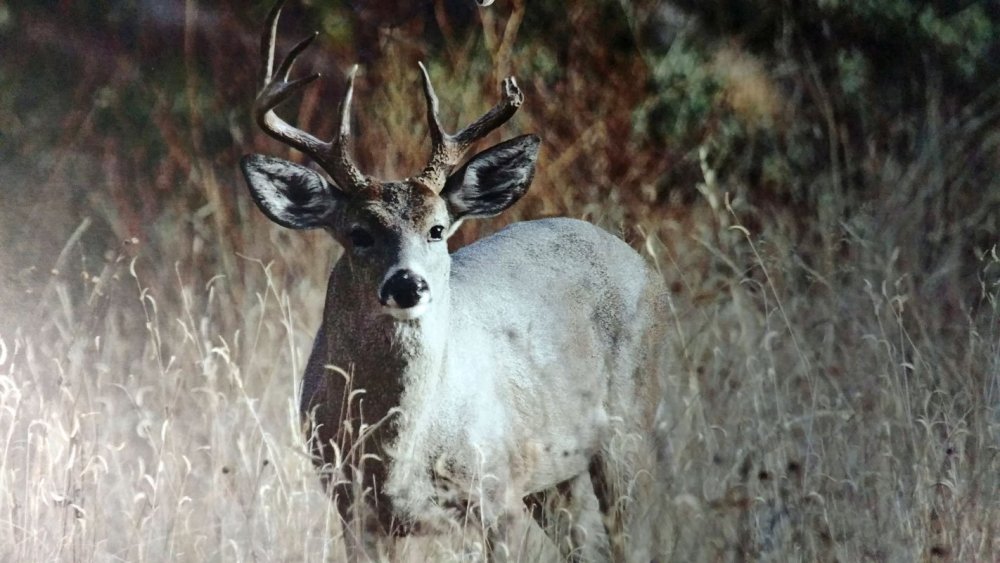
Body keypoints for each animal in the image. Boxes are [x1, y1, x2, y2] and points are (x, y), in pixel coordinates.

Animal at [238, 2, 668, 560]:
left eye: (438, 229)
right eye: (358, 233)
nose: (407, 284)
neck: (395, 458)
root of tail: (639, 261)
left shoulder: (496, 491)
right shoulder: (352, 508)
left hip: (628, 425)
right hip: (557, 475)